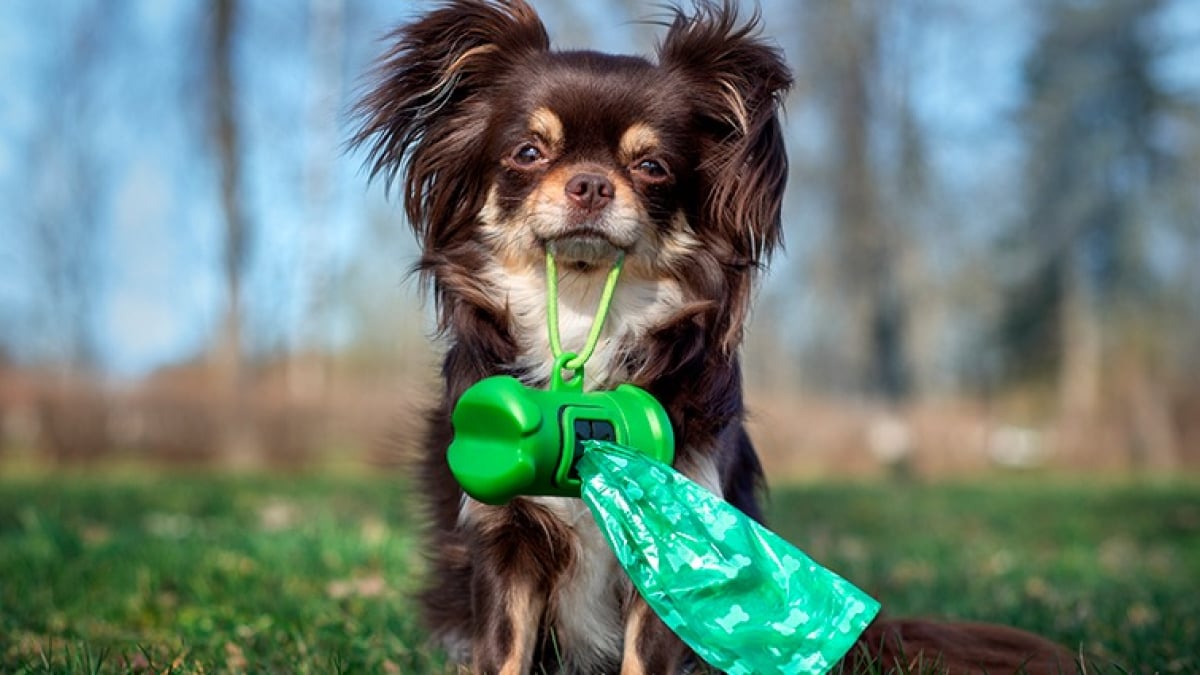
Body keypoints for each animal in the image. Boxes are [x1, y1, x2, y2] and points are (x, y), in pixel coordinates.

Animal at [352, 1, 1080, 672]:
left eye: (651, 167)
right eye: (528, 153)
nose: (589, 183)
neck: (588, 317)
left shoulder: (679, 534)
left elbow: (645, 657)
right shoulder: (507, 544)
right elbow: (504, 653)